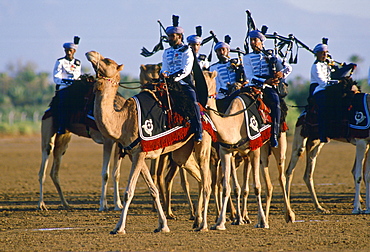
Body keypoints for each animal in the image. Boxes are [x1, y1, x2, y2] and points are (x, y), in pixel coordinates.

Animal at [86, 51, 214, 234]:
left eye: (108, 61)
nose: (91, 53)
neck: (123, 120)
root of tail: (204, 111)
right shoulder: (135, 154)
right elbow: (153, 189)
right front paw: (163, 225)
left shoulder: (139, 153)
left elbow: (129, 192)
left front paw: (119, 228)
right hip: (181, 152)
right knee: (199, 177)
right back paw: (197, 221)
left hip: (203, 143)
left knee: (207, 181)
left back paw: (204, 225)